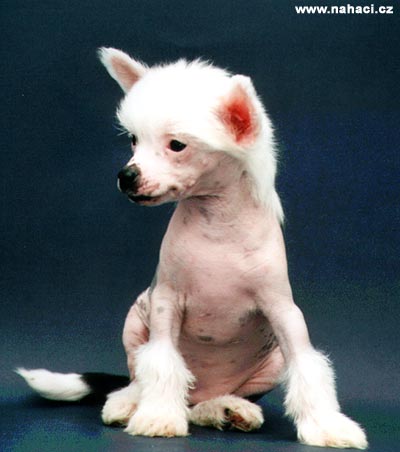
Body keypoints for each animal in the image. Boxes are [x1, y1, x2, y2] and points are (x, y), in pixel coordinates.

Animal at [17, 48, 368, 449]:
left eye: (177, 145)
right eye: (134, 141)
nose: (126, 175)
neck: (217, 225)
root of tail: (201, 391)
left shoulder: (284, 312)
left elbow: (308, 366)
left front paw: (327, 425)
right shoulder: (165, 304)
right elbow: (162, 362)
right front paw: (157, 416)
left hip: (268, 363)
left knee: (205, 404)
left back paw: (227, 409)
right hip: (136, 321)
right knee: (140, 377)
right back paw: (130, 402)